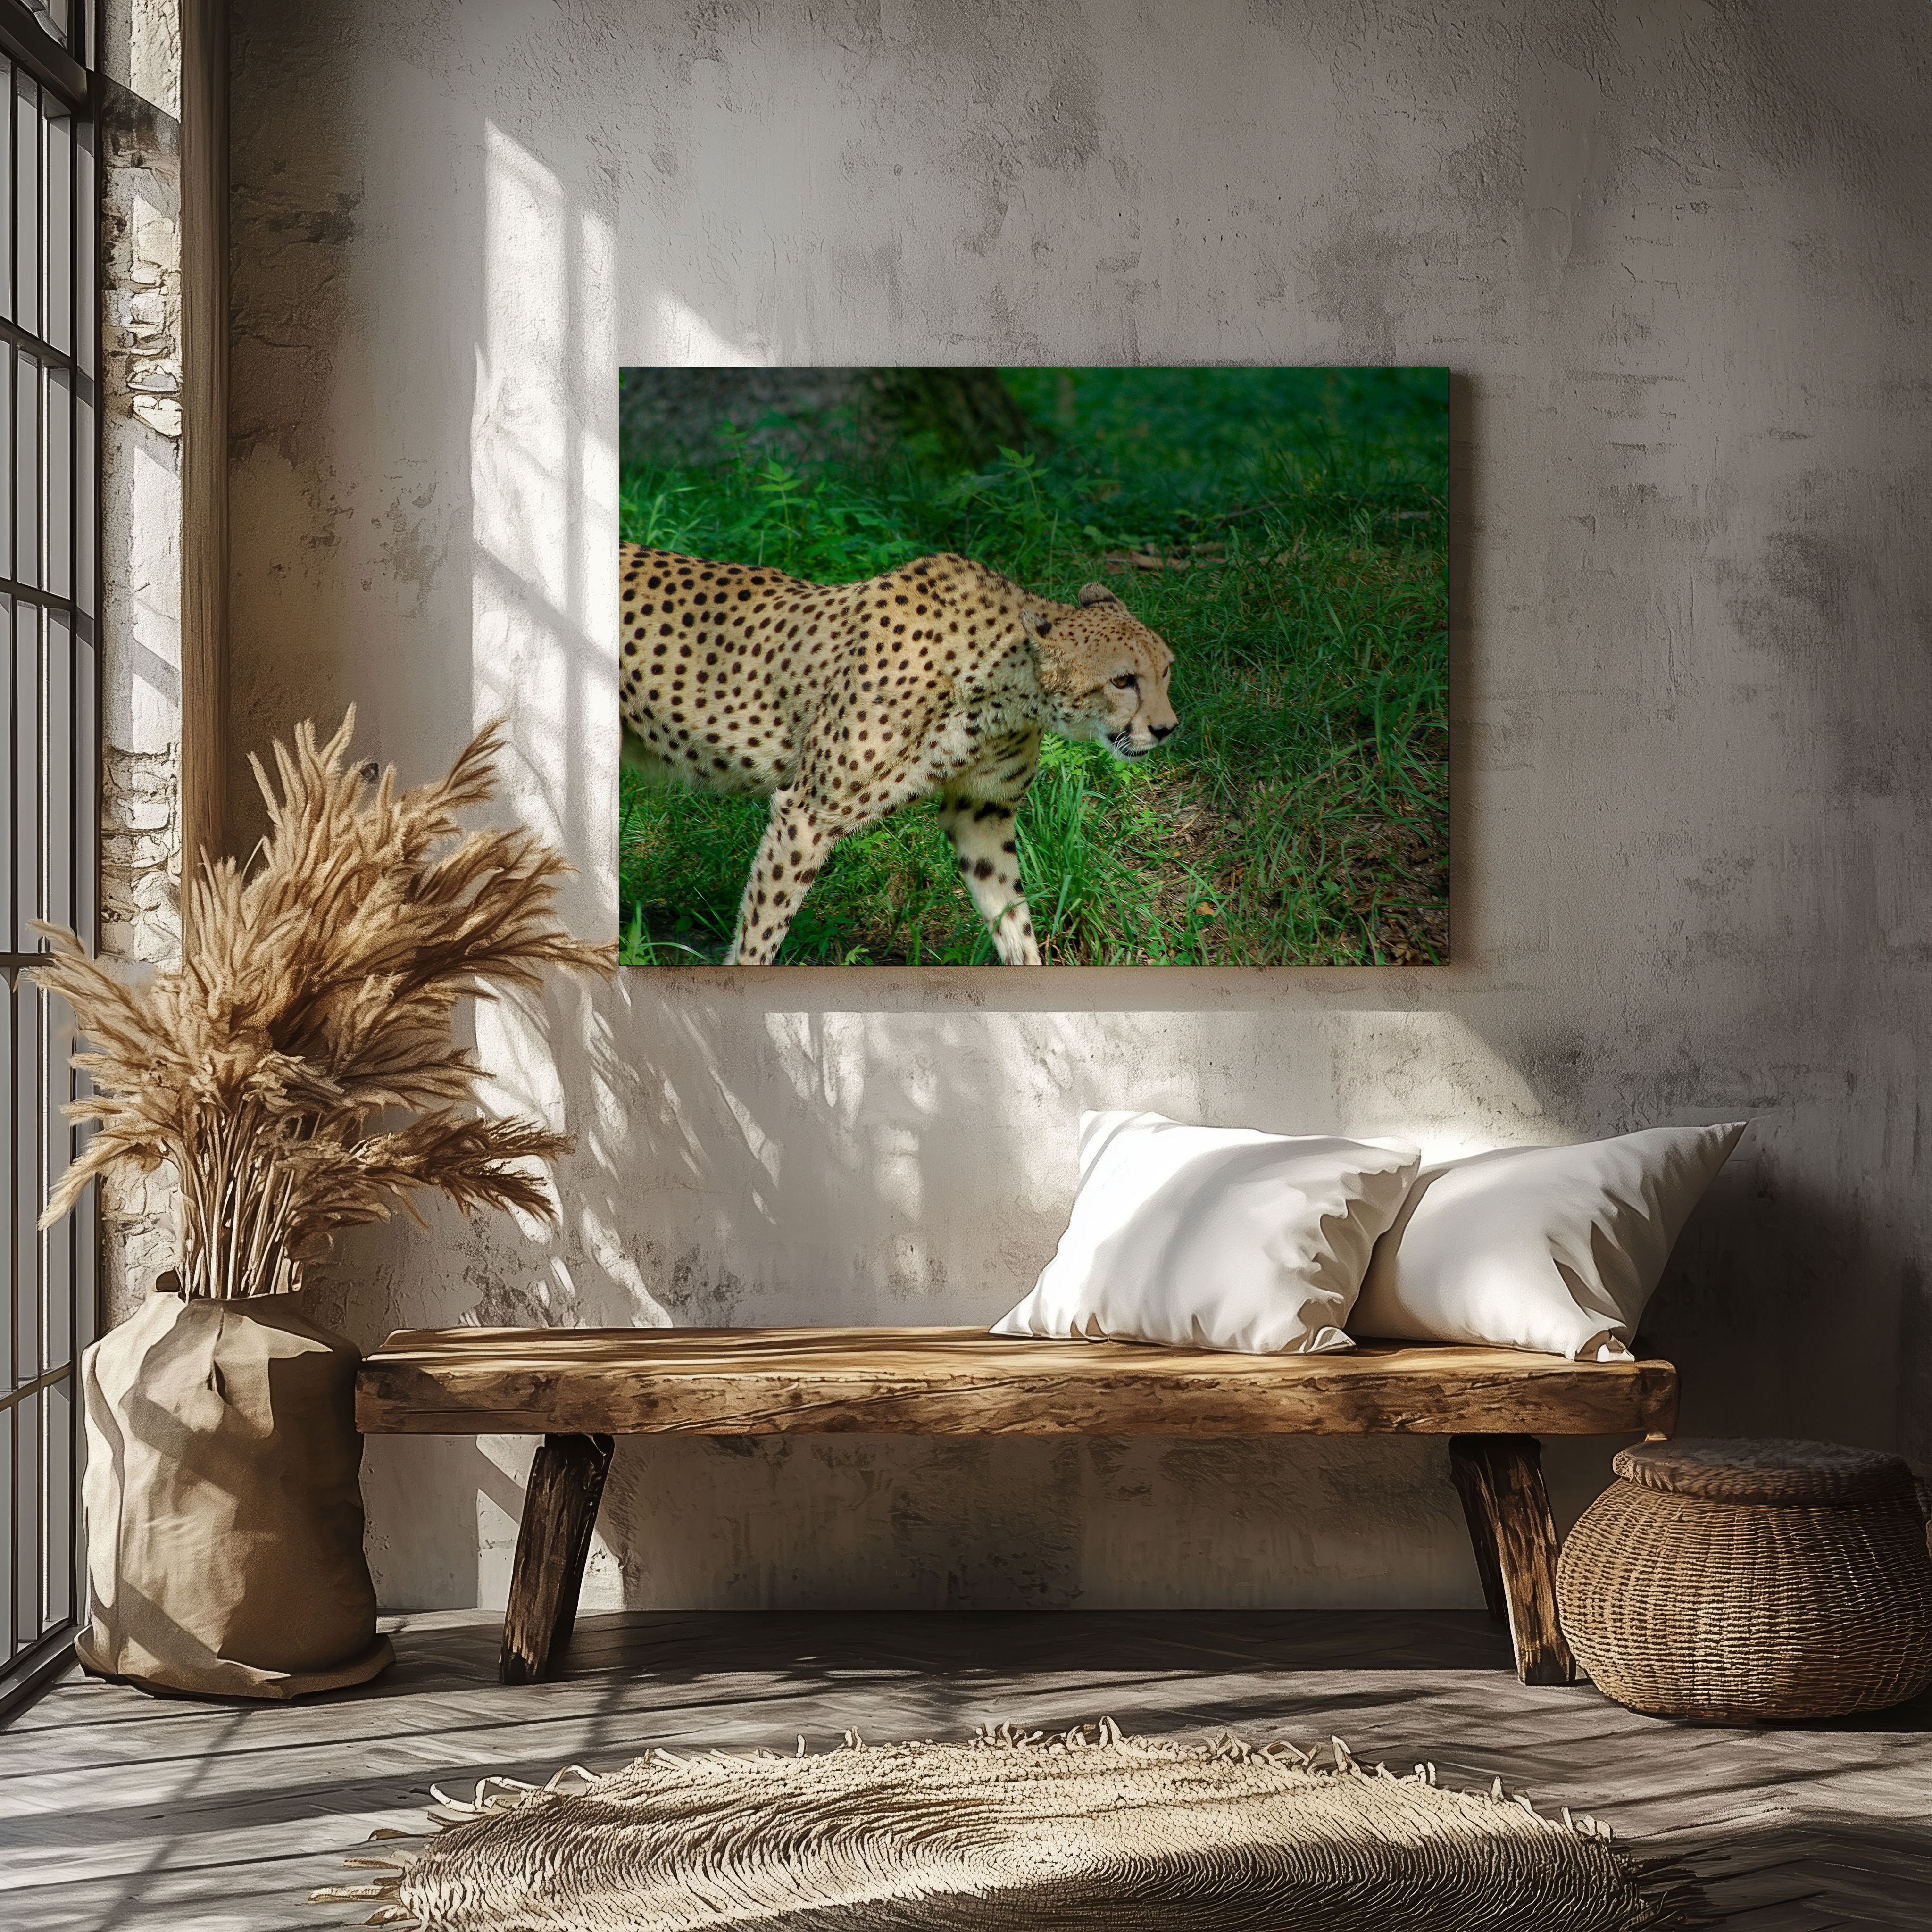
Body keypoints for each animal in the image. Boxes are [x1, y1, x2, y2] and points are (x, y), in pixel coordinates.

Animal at [618, 543, 1181, 964]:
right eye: (1123, 681)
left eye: (1167, 669)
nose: (1167, 728)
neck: (1004, 688)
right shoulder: (807, 815)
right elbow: (763, 929)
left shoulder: (981, 815)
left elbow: (1014, 923)